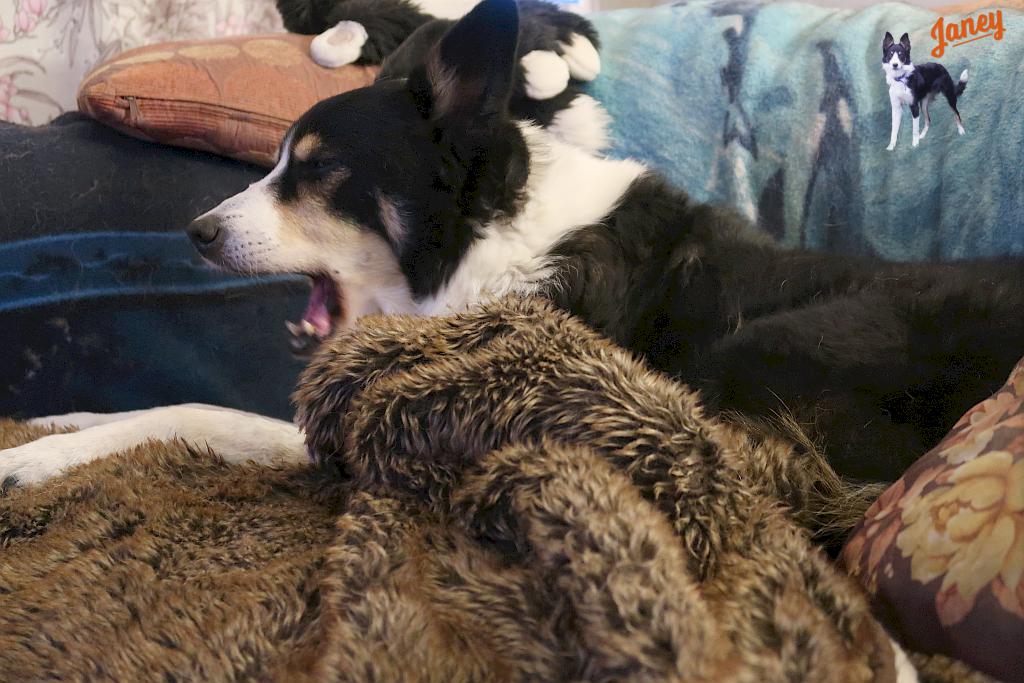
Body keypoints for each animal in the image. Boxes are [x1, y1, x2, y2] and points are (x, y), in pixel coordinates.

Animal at [4, 0, 1019, 491]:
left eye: (321, 172)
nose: (198, 232)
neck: (480, 236)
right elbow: (173, 406)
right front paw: (58, 423)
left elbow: (196, 415)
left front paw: (34, 461)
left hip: (760, 351)